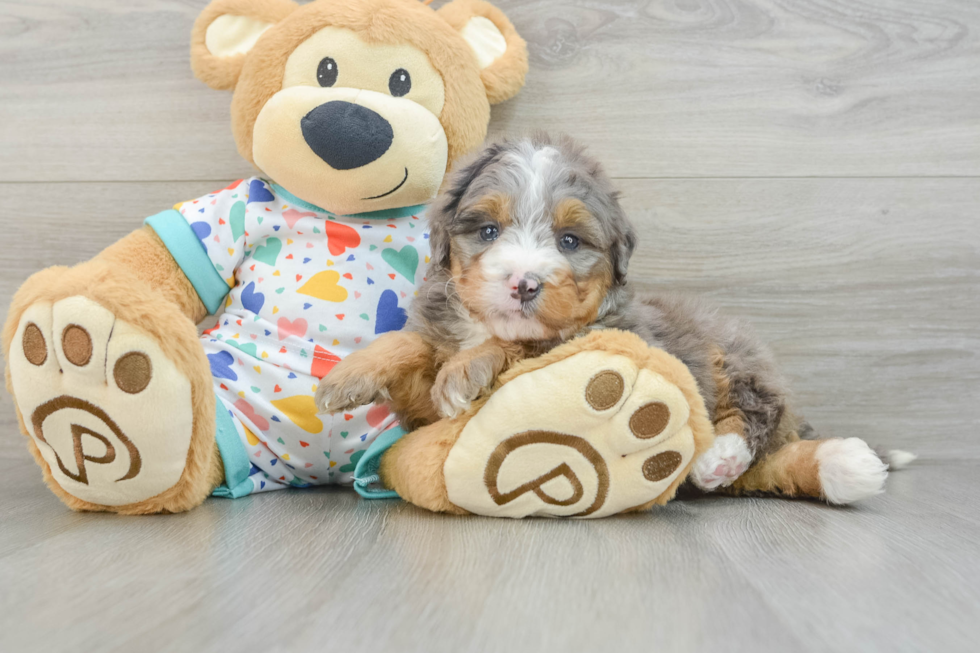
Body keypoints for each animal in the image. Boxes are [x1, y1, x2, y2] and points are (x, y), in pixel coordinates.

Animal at [318, 131, 908, 500]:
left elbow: (525, 343)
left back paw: (720, 456)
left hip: (731, 354)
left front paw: (466, 369)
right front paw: (348, 377)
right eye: (487, 231)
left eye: (569, 240)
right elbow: (412, 343)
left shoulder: (596, 335)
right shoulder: (424, 391)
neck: (480, 326)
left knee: (760, 413)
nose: (524, 283)